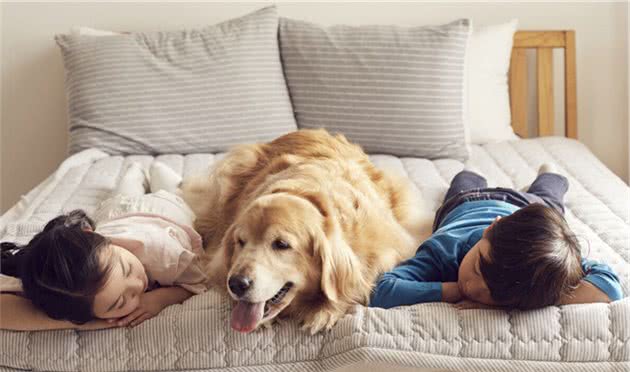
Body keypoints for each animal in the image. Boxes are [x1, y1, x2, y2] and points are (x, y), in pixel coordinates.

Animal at [180, 129, 432, 334]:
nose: (237, 284)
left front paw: (327, 310)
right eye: (240, 241)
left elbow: (358, 281)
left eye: (281, 244)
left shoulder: (391, 250)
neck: (309, 196)